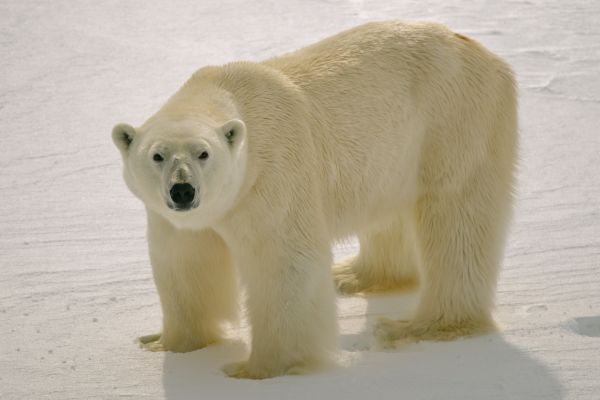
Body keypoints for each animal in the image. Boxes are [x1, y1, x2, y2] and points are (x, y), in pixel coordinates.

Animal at [111, 21, 516, 378]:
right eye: (158, 155)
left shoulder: (271, 173)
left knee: (457, 224)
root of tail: (483, 52)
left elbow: (283, 261)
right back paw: (353, 276)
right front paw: (166, 343)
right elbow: (184, 262)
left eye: (203, 153)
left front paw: (259, 369)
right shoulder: (177, 220)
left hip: (453, 123)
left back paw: (419, 326)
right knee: (388, 215)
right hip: (396, 152)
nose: (182, 190)